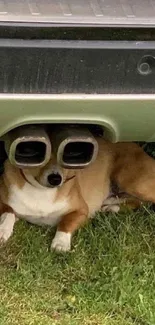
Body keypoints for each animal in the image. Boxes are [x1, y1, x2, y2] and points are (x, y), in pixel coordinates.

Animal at [0, 138, 154, 252]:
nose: (55, 179)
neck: (41, 190)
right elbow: (9, 213)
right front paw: (3, 230)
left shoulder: (81, 210)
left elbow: (66, 222)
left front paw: (61, 242)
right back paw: (112, 206)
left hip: (129, 180)